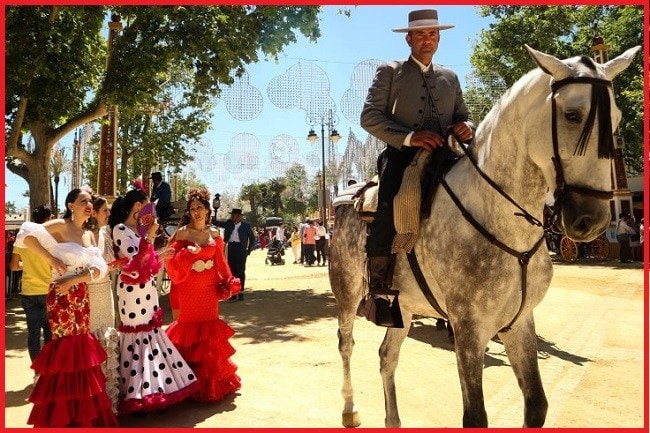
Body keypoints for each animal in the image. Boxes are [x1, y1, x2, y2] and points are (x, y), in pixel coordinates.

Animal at [330, 45, 636, 426]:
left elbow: (536, 404)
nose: (591, 219)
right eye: (572, 115)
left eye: (617, 119)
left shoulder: (519, 322)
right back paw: (349, 409)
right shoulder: (469, 327)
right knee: (346, 343)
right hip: (347, 290)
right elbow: (475, 415)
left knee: (388, 356)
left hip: (403, 306)